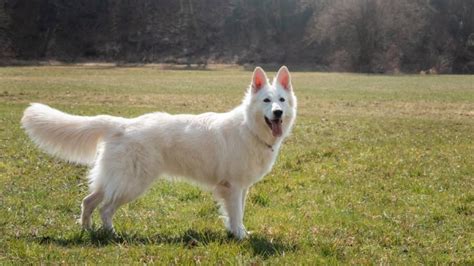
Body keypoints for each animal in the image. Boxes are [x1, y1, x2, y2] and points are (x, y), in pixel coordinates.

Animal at [22, 66, 298, 239]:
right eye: (266, 101)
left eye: (282, 100)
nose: (277, 113)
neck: (249, 128)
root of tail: (121, 124)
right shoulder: (233, 187)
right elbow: (236, 213)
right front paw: (240, 236)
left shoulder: (240, 188)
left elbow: (235, 214)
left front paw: (236, 232)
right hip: (132, 184)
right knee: (105, 209)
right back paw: (111, 234)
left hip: (113, 180)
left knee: (88, 201)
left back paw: (87, 230)